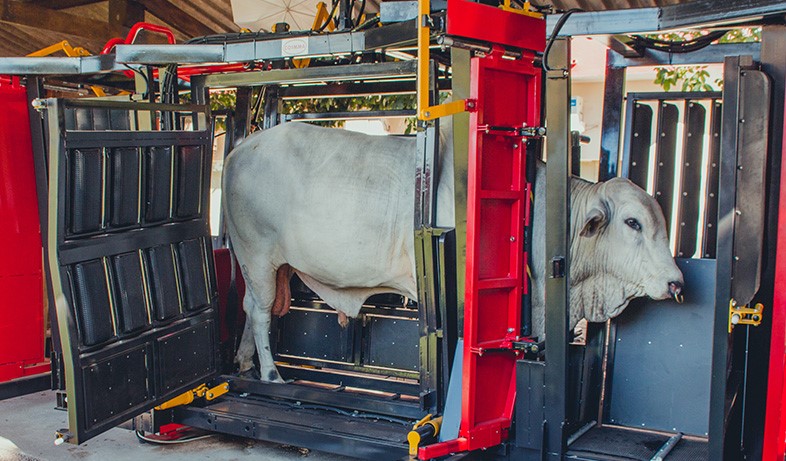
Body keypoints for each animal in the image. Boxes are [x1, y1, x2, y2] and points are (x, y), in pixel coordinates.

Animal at [220, 121, 680, 380]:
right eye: (633, 222)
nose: (677, 283)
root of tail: (240, 149)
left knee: (249, 306)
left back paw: (243, 361)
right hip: (256, 254)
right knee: (260, 312)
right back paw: (270, 374)